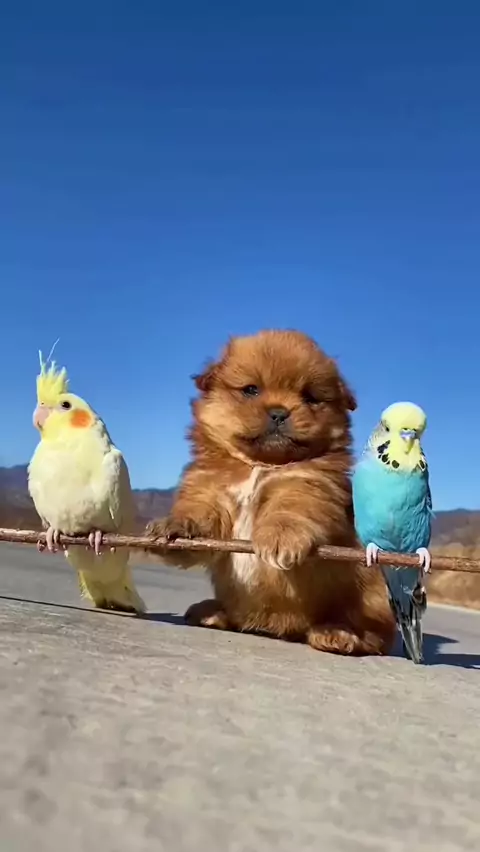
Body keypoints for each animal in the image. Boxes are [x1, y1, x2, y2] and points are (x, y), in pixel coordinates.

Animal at [148, 329, 396, 656]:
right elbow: (198, 517)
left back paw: (337, 632)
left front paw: (280, 538)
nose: (279, 412)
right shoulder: (210, 492)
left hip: (373, 591)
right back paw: (213, 611)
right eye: (251, 390)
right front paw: (173, 527)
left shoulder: (308, 485)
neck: (260, 466)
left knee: (376, 635)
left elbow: (290, 509)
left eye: (310, 398)